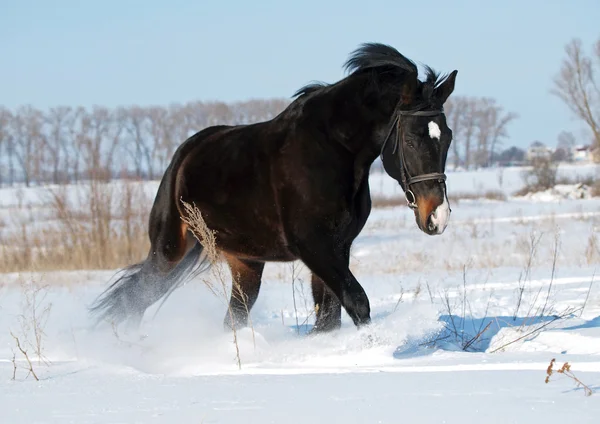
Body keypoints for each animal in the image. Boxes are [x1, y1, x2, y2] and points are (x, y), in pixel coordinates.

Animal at [89, 43, 458, 334]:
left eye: (448, 136)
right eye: (410, 139)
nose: (437, 218)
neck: (333, 151)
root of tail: (183, 156)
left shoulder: (338, 247)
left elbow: (329, 316)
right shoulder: (314, 246)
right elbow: (356, 302)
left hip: (245, 262)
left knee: (232, 317)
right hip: (169, 251)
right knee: (137, 297)